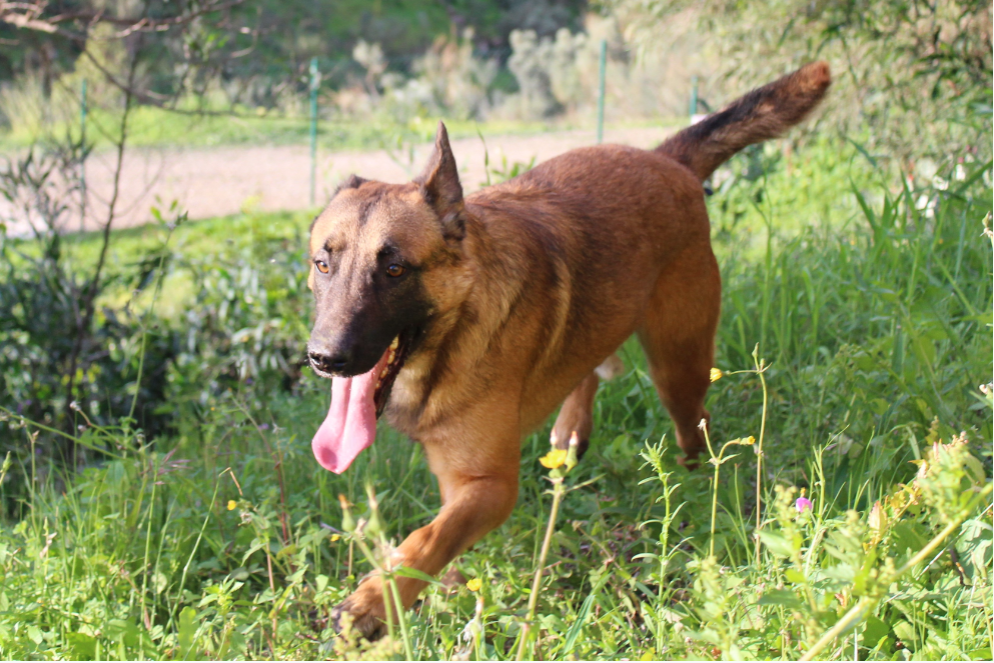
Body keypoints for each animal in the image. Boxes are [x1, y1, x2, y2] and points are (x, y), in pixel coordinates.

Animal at [304, 62, 828, 640]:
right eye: (323, 264)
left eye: (395, 269)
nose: (325, 359)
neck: (456, 329)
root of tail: (666, 159)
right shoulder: (460, 481)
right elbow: (441, 538)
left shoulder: (491, 487)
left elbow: (425, 539)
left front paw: (375, 601)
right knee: (590, 369)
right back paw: (573, 428)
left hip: (679, 372)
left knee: (696, 431)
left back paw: (695, 490)